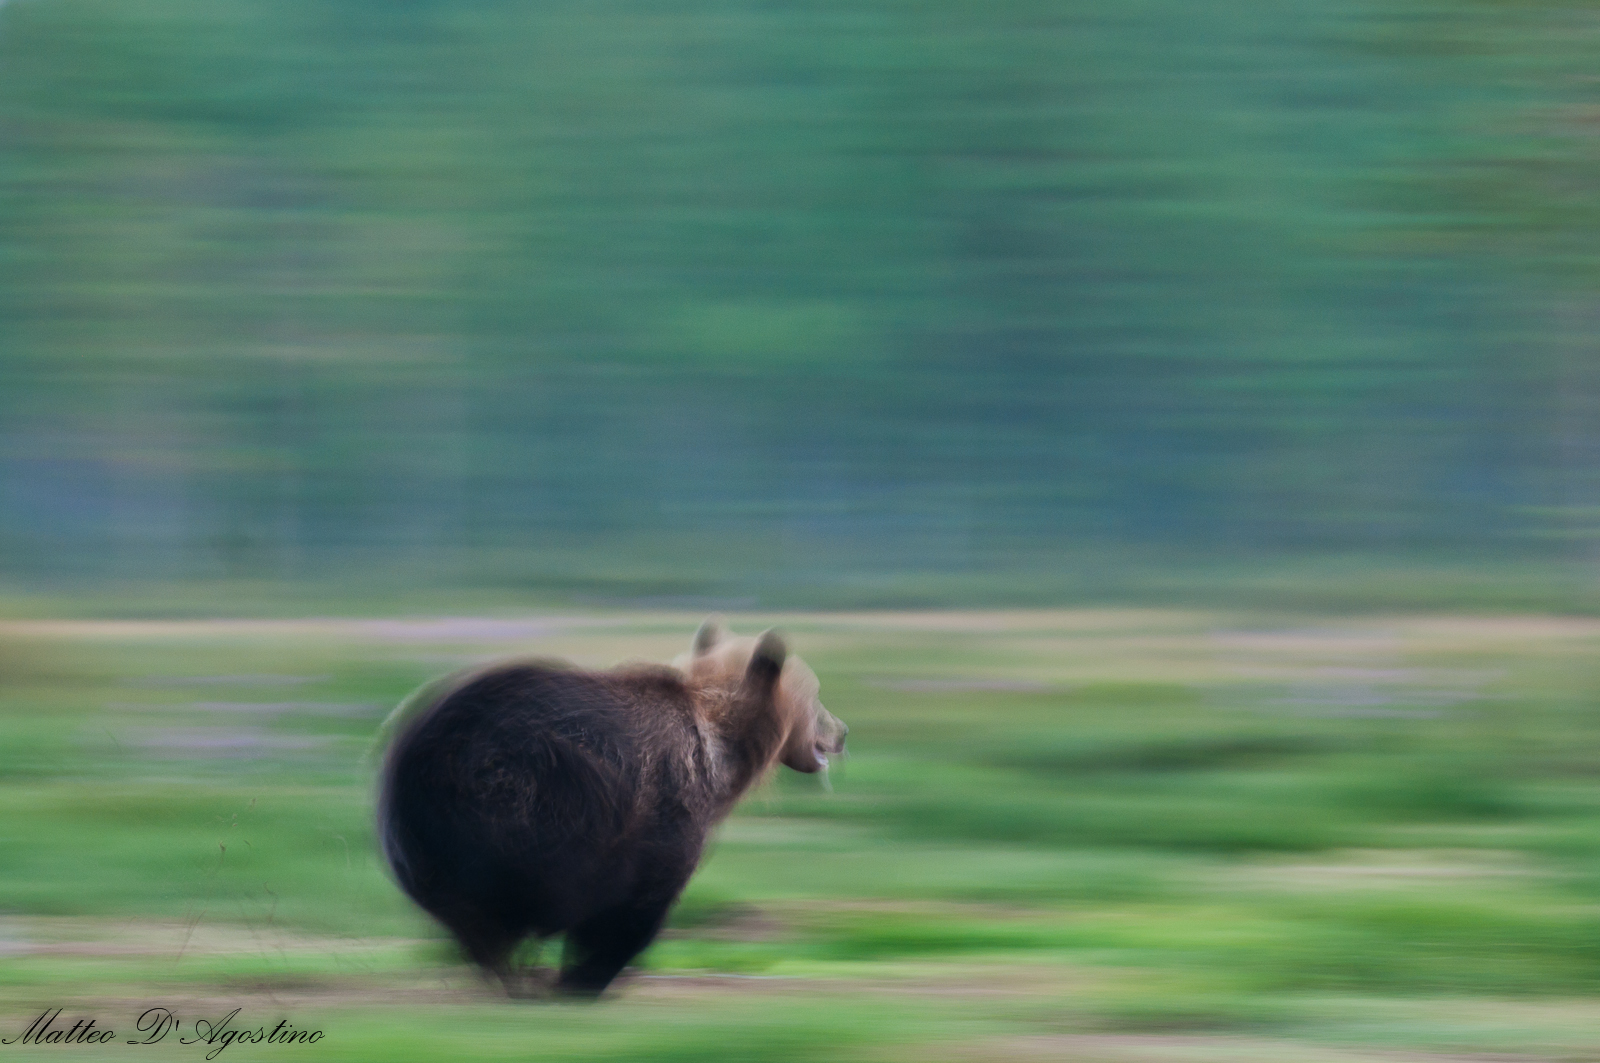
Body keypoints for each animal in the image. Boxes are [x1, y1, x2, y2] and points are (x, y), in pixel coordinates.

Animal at [376, 619, 847, 997]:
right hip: (519, 792)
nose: (841, 731)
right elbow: (633, 906)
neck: (725, 749)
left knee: (465, 913)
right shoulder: (664, 807)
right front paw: (585, 976)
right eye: (818, 694)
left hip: (421, 836)